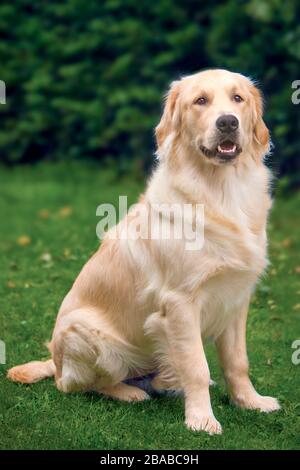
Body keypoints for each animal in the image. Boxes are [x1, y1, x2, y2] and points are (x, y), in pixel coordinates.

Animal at [9, 70, 282, 436]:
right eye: (200, 101)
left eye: (237, 98)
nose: (228, 122)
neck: (221, 190)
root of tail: (55, 361)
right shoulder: (181, 303)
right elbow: (197, 367)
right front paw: (201, 419)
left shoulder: (236, 298)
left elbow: (238, 362)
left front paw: (250, 401)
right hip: (88, 336)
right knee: (75, 385)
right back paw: (128, 393)